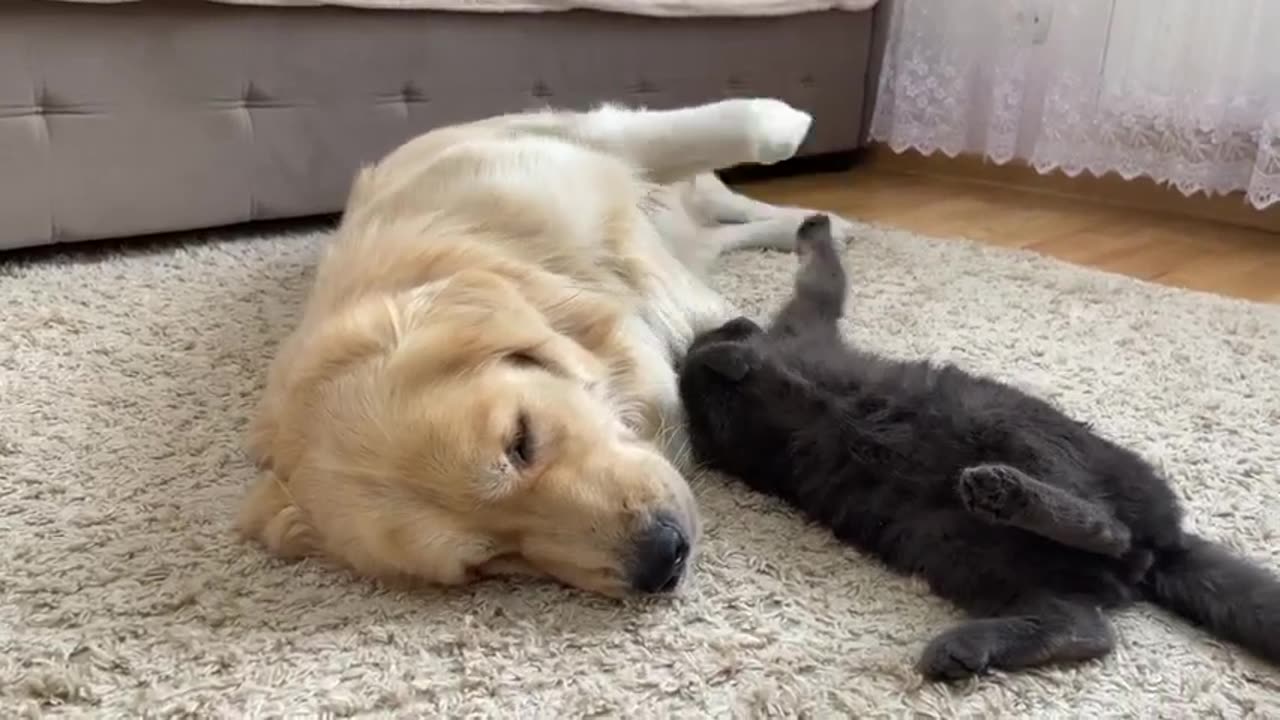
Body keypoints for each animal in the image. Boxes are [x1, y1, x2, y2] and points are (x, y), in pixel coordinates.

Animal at [238, 98, 849, 597]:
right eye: (488, 561)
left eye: (521, 440)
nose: (661, 561)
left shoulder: (558, 153)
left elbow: (721, 131)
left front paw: (784, 122)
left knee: (726, 198)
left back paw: (823, 218)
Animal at [680, 212, 1280, 676]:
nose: (734, 333)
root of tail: (1164, 544)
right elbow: (717, 364)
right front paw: (716, 354)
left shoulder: (801, 333)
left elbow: (817, 283)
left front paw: (809, 234)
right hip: (978, 559)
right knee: (1087, 621)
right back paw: (964, 640)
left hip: (1008, 430)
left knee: (1107, 528)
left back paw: (999, 494)